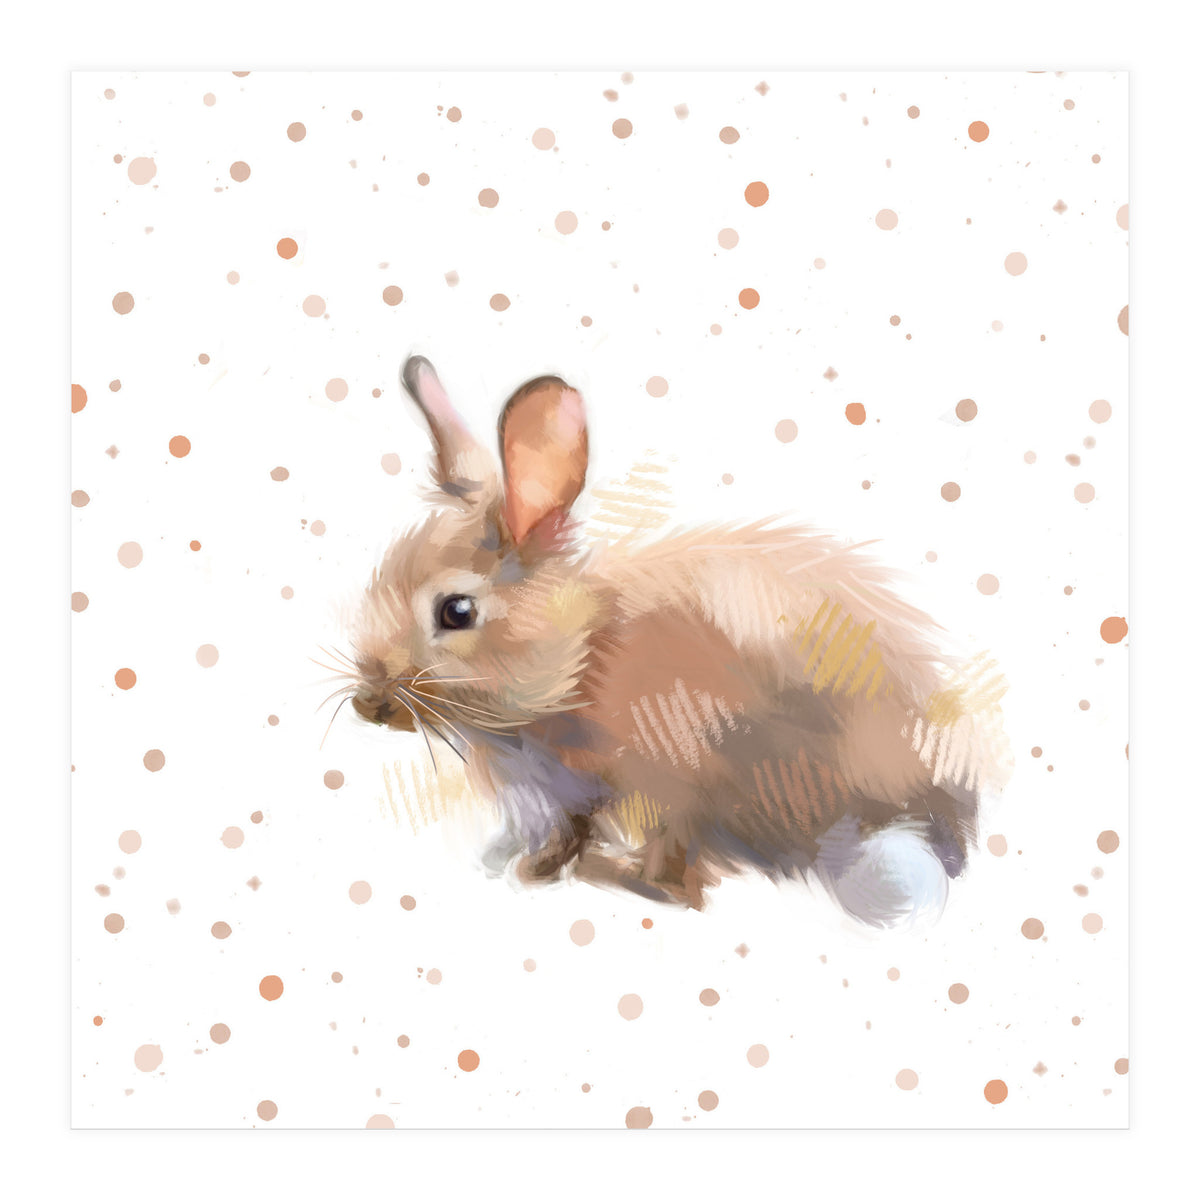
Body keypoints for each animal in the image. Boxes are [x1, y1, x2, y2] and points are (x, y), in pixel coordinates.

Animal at [347, 355, 1010, 925]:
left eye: (456, 611)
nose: (367, 703)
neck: (581, 662)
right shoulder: (569, 796)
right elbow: (570, 828)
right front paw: (527, 865)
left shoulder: (671, 774)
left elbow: (658, 860)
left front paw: (599, 877)